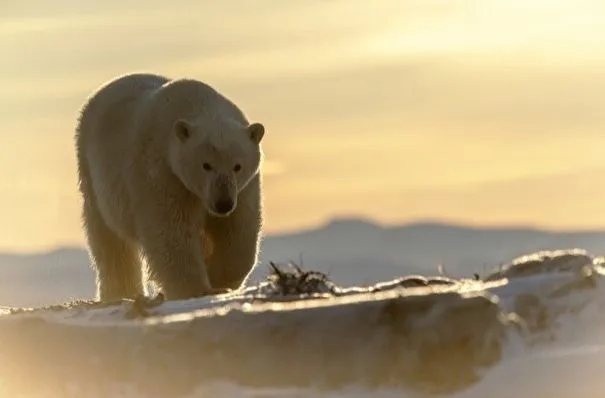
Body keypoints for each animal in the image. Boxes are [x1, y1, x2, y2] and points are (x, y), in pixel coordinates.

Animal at [74, 72, 266, 302]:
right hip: (93, 174)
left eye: (237, 166)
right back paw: (120, 293)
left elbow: (238, 229)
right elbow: (171, 230)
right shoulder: (162, 173)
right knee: (110, 241)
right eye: (206, 165)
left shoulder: (243, 189)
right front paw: (196, 289)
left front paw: (219, 278)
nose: (223, 204)